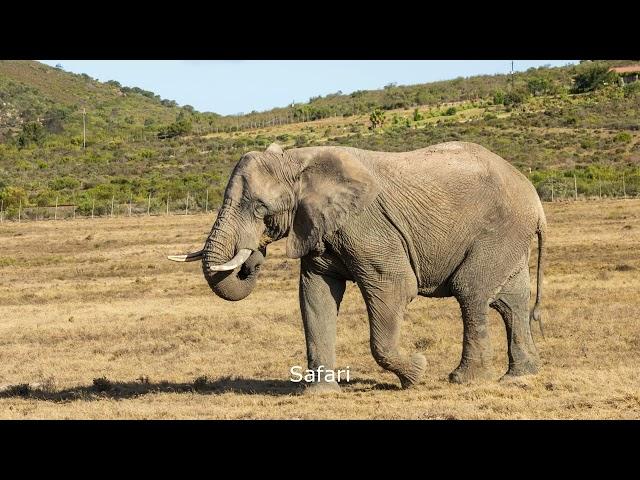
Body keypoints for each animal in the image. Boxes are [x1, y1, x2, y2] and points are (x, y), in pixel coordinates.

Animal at [169, 141, 544, 392]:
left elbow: (395, 287)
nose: (253, 257)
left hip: (499, 230)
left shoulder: (368, 226)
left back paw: (463, 380)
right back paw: (521, 375)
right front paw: (320, 394)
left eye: (259, 208)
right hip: (511, 236)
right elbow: (314, 297)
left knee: (472, 293)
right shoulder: (319, 227)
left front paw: (417, 373)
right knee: (511, 301)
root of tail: (535, 198)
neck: (299, 160)